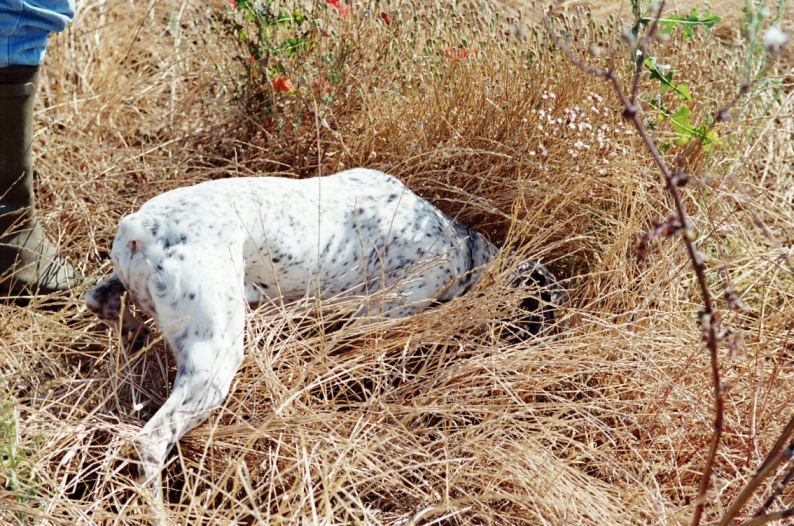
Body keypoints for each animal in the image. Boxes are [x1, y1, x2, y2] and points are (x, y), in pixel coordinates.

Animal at [85, 169, 556, 508]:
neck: (462, 247)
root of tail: (141, 227)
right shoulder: (379, 315)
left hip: (128, 301)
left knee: (106, 308)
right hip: (215, 362)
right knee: (151, 442)